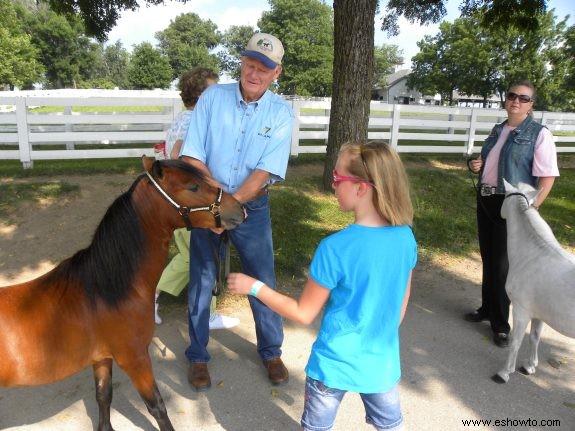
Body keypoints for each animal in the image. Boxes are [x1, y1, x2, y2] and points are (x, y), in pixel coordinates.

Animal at [0, 159, 245, 431]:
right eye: (193, 186)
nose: (240, 209)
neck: (106, 290)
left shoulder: (102, 359)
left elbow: (103, 396)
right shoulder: (134, 359)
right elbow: (157, 406)